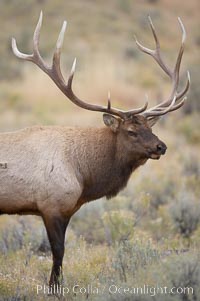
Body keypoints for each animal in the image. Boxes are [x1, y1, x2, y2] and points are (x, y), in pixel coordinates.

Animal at [0, 11, 190, 284]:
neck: (84, 175)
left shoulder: (67, 209)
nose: (161, 146)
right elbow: (58, 252)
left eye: (150, 127)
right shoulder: (51, 205)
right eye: (131, 132)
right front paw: (53, 286)